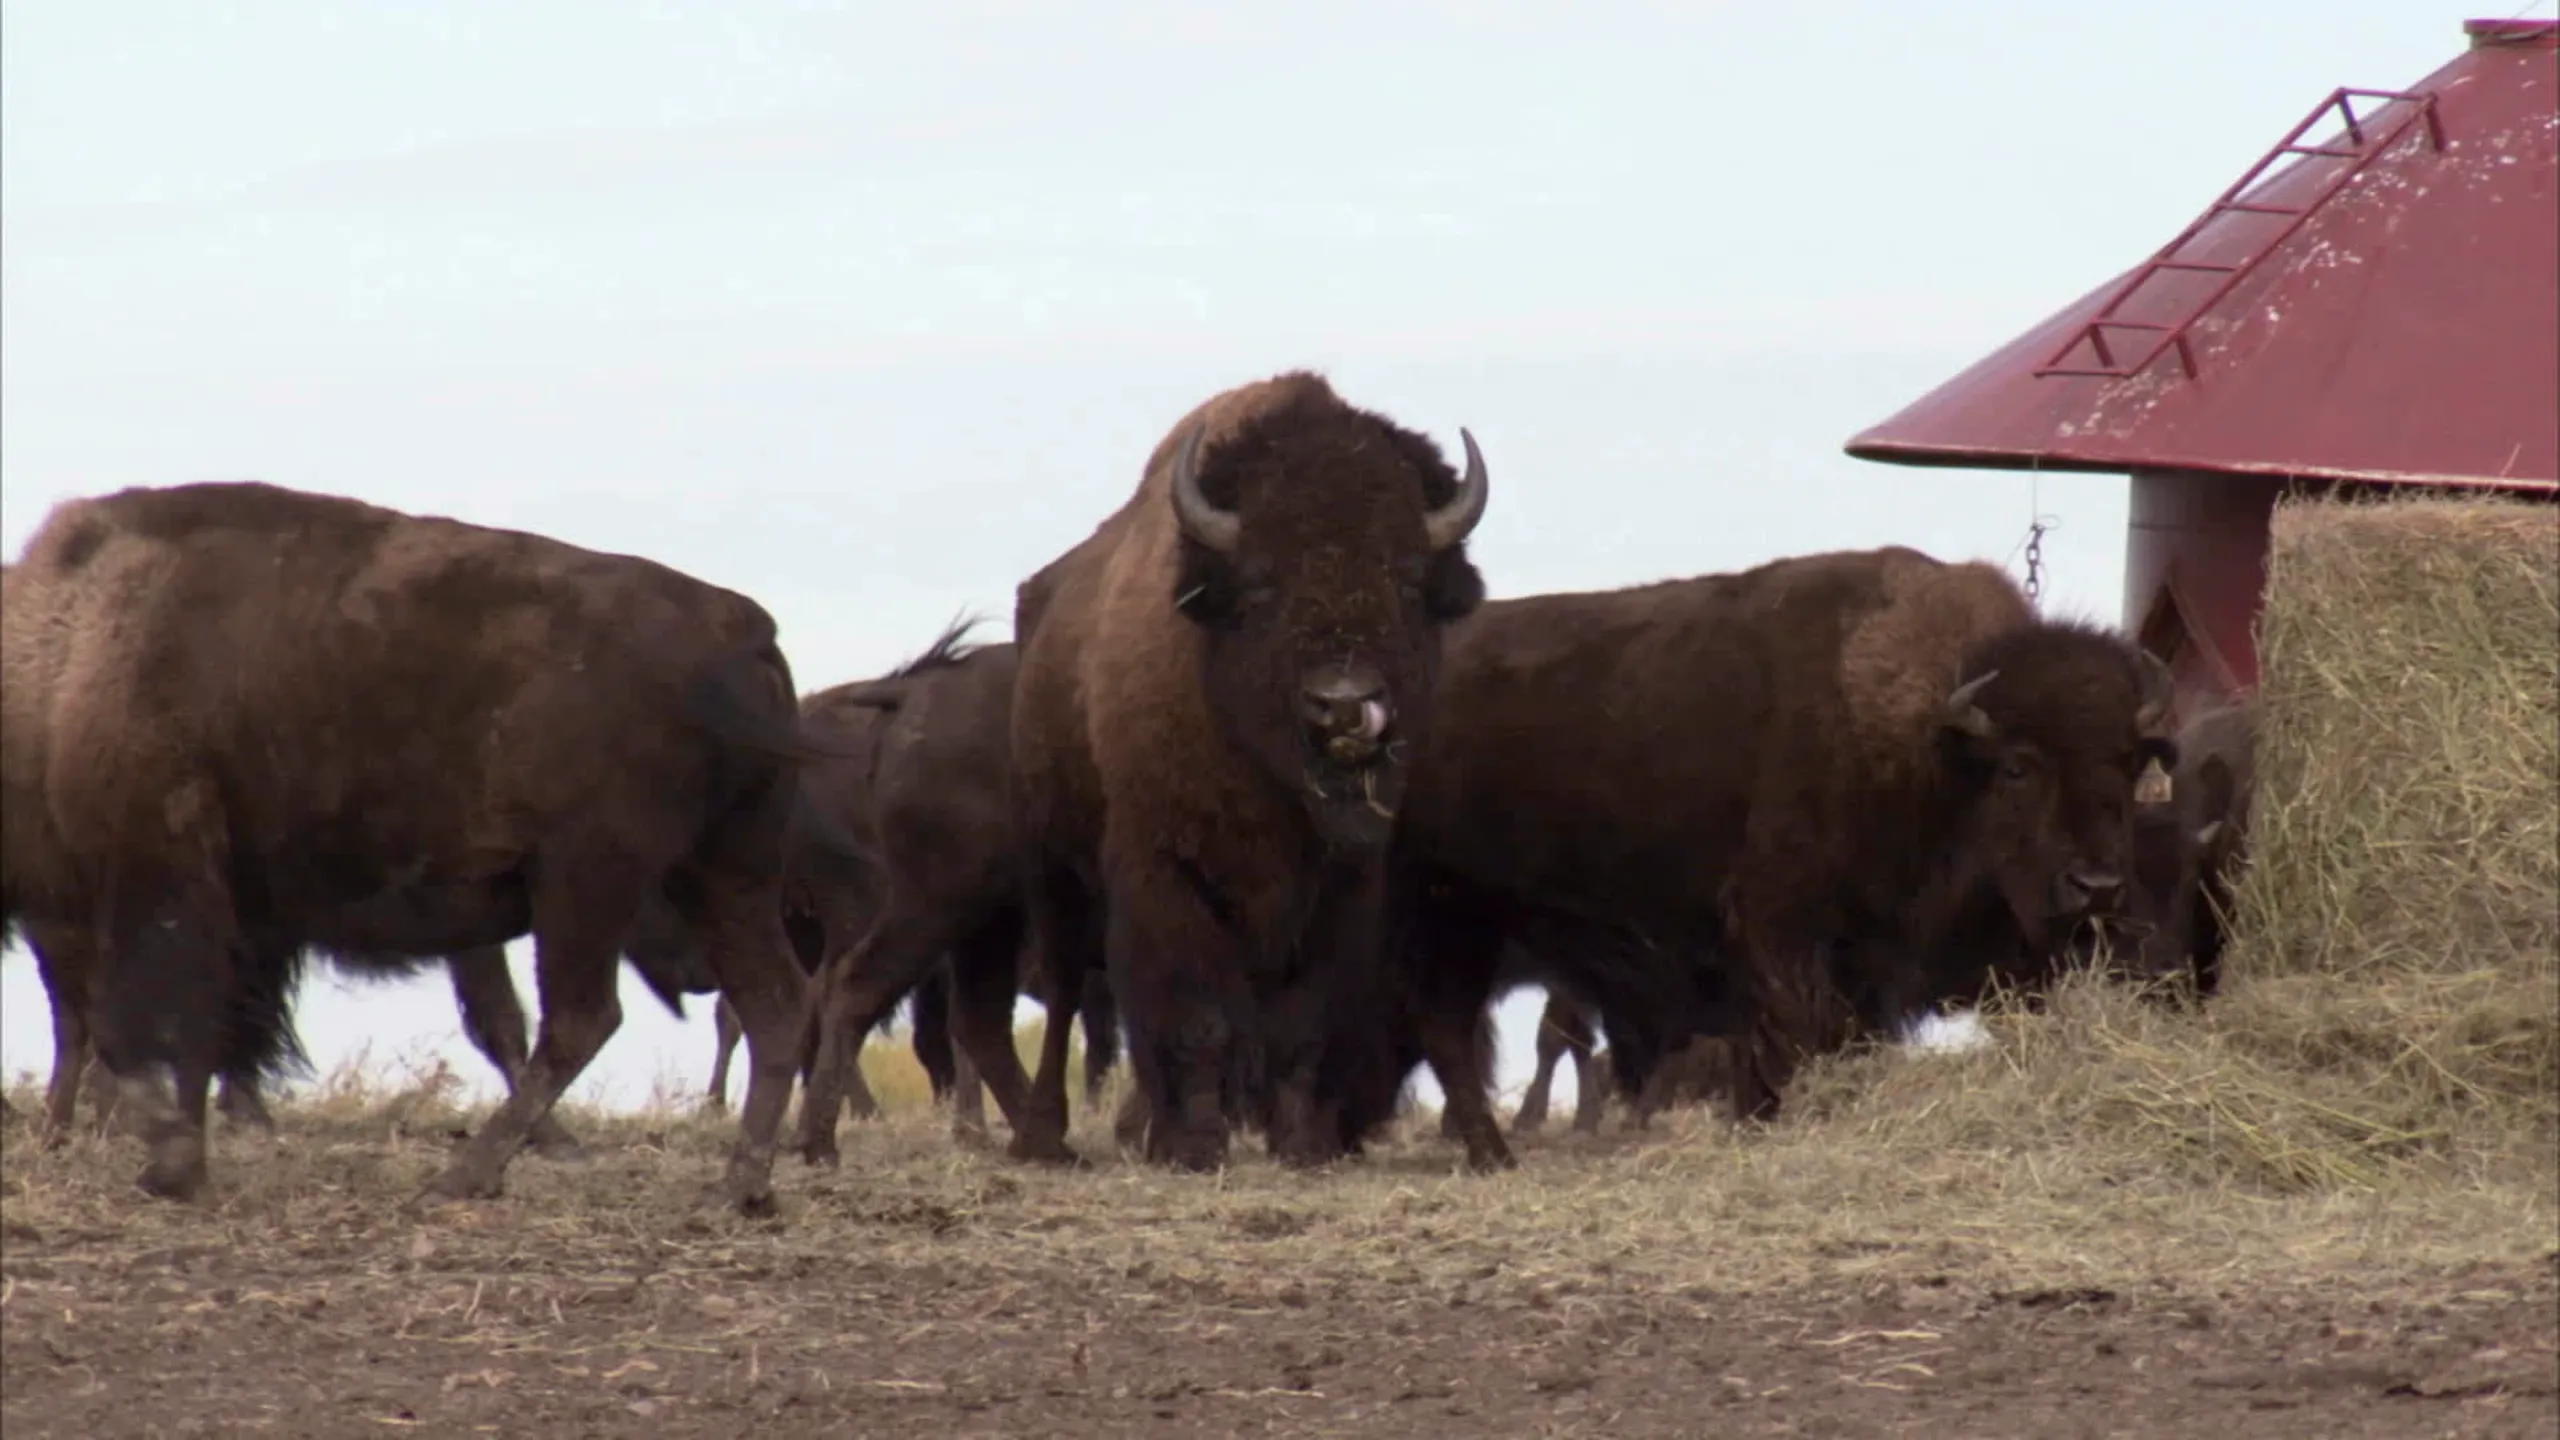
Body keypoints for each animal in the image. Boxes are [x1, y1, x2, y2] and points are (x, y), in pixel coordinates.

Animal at [0, 480, 821, 1213]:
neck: (67, 655)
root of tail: (740, 628)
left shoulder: (160, 883)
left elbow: (142, 1029)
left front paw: (171, 1163)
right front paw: (175, 1163)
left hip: (588, 880)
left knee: (585, 1017)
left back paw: (461, 1180)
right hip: (723, 874)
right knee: (772, 1003)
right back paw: (741, 1189)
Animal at [1008, 371, 1490, 1171]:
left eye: (1407, 581)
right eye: (1263, 585)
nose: (1344, 705)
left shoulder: (1340, 887)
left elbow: (1303, 1024)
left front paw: (1301, 1143)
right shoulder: (1166, 874)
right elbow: (1195, 1017)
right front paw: (1199, 1146)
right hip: (1054, 870)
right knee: (1069, 993)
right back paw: (1046, 1135)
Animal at [1387, 546, 2177, 1170]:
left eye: (2128, 764)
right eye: (2017, 767)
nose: (2095, 886)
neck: (1930, 750)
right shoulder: (1782, 934)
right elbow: (1789, 1038)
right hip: (1457, 926)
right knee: (1449, 1034)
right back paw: (1494, 1155)